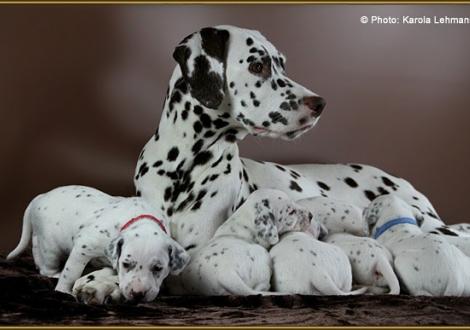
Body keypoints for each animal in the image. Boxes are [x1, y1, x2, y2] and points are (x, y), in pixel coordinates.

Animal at [6, 184, 188, 302]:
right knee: (46, 267)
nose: (138, 294)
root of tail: (39, 197)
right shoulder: (83, 248)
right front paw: (64, 291)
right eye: (126, 264)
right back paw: (55, 273)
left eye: (158, 268)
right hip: (51, 247)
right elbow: (70, 273)